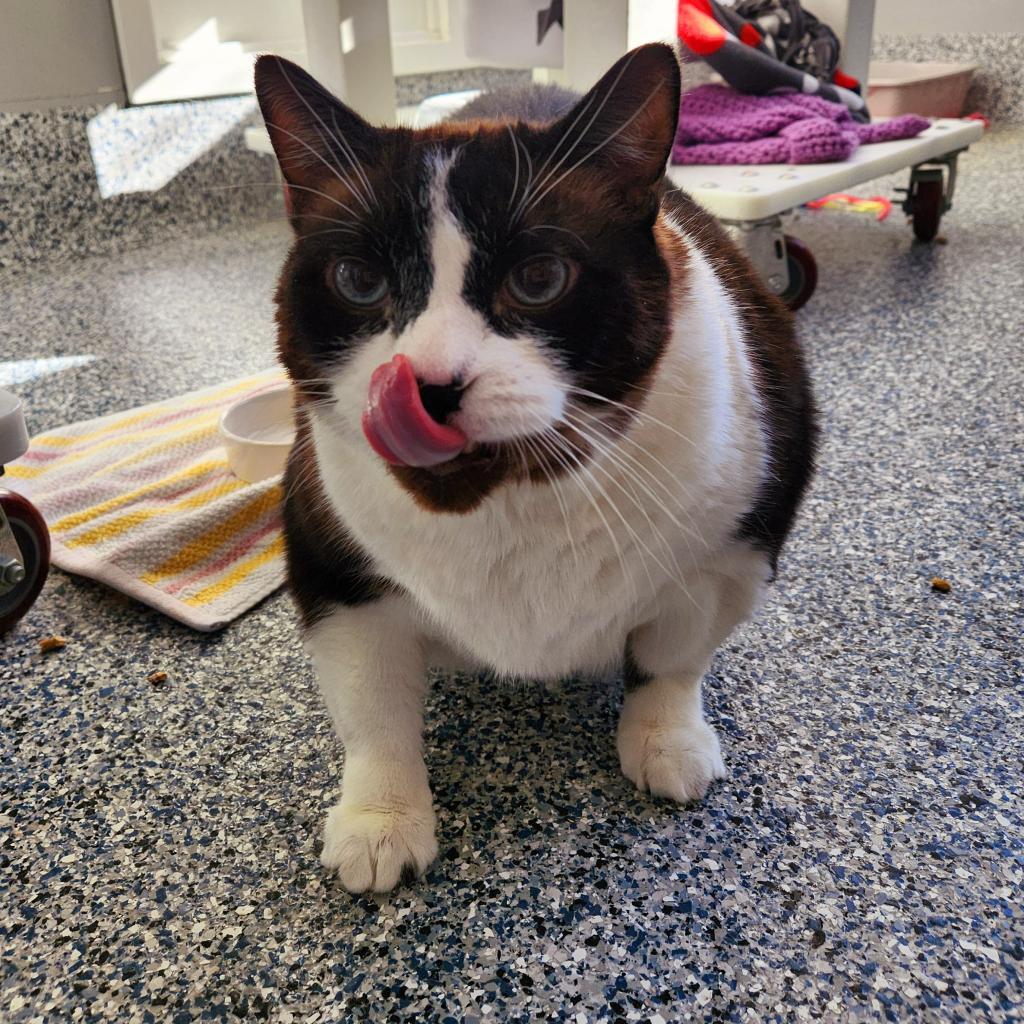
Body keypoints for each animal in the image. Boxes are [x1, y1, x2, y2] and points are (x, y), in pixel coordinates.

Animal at [251, 46, 811, 897]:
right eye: (358, 282)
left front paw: (666, 739)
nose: (427, 385)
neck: (511, 499)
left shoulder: (730, 555)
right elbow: (374, 712)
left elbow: (674, 660)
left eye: (541, 278)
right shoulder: (334, 569)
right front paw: (382, 819)